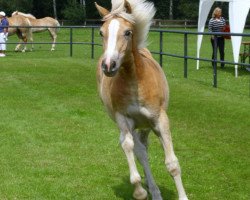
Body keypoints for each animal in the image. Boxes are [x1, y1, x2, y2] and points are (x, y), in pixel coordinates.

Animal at [95, 0, 188, 199]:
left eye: (127, 32)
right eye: (101, 32)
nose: (108, 65)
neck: (134, 82)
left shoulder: (159, 120)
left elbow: (172, 164)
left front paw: (183, 196)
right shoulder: (124, 120)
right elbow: (130, 147)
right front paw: (139, 191)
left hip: (146, 126)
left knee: (143, 148)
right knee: (139, 151)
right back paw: (153, 191)